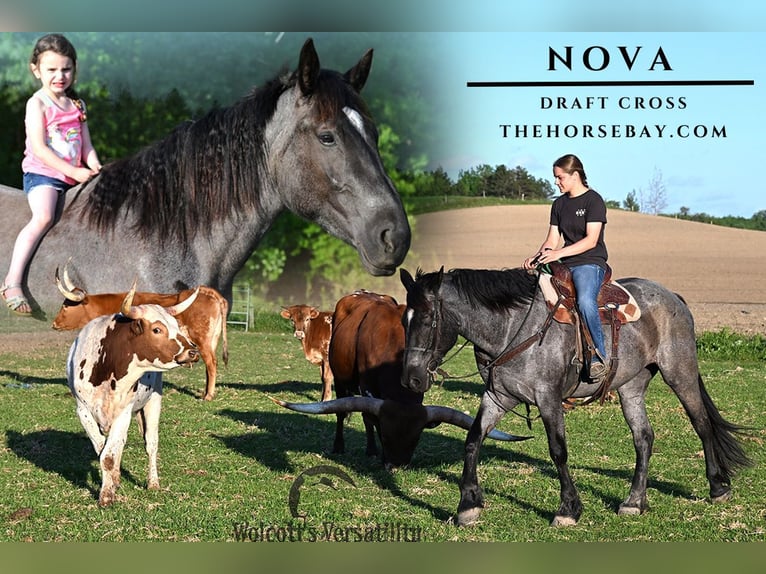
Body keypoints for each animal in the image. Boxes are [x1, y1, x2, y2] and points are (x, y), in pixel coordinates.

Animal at [399, 267, 752, 527]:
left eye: (428, 319)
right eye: (404, 319)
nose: (411, 379)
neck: (511, 328)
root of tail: (673, 297)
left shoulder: (548, 398)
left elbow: (558, 451)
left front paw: (568, 509)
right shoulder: (498, 397)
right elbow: (473, 441)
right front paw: (468, 504)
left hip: (680, 373)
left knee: (702, 424)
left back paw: (718, 487)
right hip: (631, 386)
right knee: (643, 437)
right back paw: (634, 501)